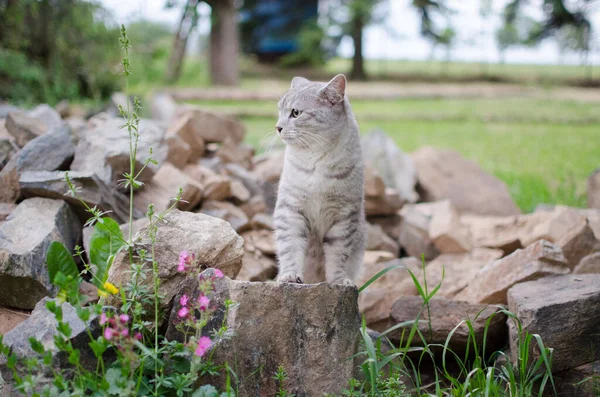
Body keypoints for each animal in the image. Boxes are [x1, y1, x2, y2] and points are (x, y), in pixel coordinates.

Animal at [274, 74, 366, 284]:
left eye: (296, 113)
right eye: (280, 111)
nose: (278, 127)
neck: (316, 159)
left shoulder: (344, 217)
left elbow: (337, 255)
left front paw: (338, 280)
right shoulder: (290, 209)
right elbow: (290, 246)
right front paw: (290, 275)